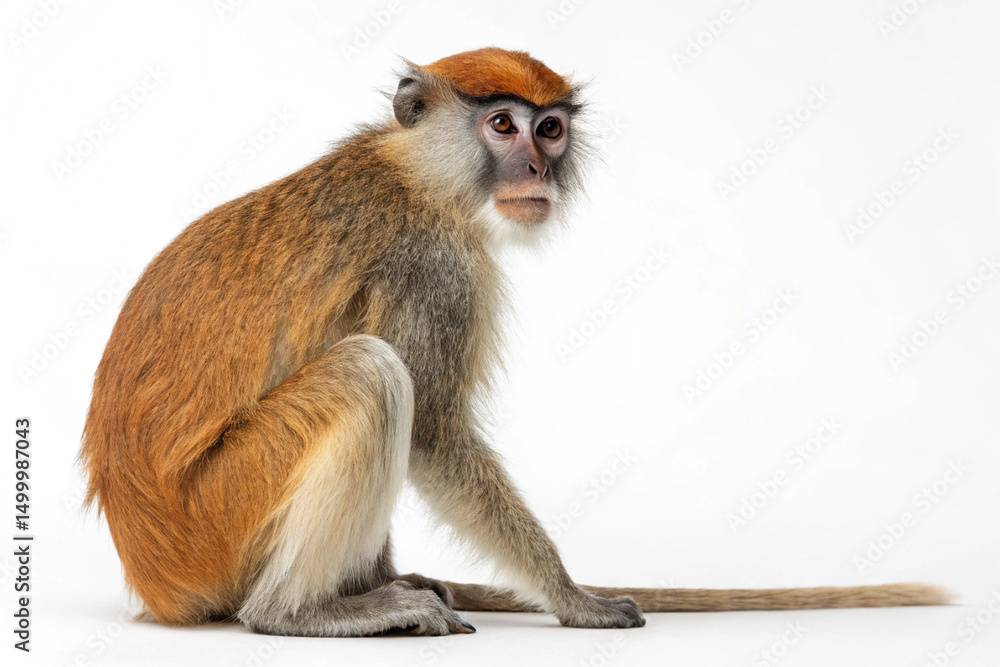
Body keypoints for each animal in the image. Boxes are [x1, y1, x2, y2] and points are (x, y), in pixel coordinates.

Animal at [79, 47, 948, 637]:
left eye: (551, 129)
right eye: (502, 123)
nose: (536, 165)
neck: (417, 174)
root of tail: (154, 574)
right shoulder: (437, 267)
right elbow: (433, 431)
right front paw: (572, 597)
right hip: (218, 515)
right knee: (370, 372)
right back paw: (298, 611)